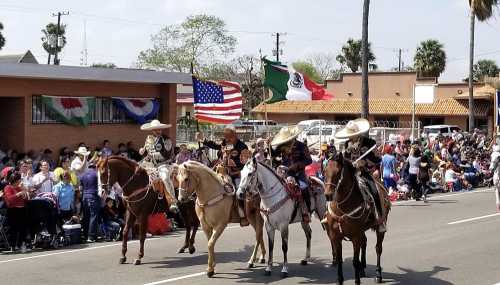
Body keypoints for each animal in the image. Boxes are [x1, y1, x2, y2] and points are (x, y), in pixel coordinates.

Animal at [322, 153, 392, 284]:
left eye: (338, 172)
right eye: (324, 171)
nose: (328, 195)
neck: (342, 208)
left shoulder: (355, 236)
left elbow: (354, 261)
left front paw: (357, 280)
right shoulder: (336, 237)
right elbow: (340, 260)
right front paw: (340, 280)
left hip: (380, 226)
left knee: (378, 248)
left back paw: (378, 274)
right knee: (364, 242)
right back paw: (362, 268)